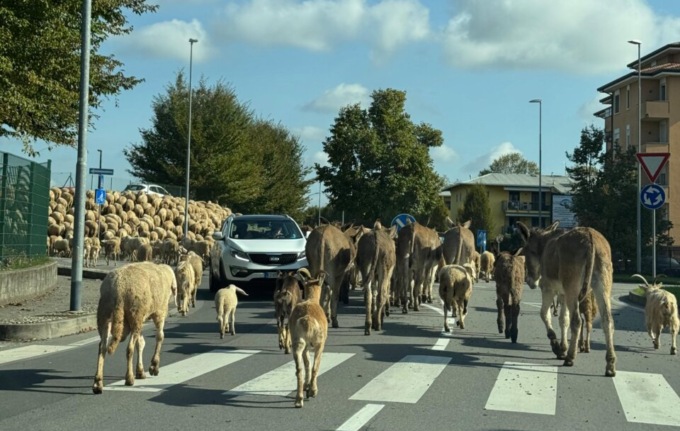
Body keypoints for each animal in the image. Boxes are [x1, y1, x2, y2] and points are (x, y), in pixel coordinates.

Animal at [92, 262, 178, 394]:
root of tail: (118, 288)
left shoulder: (139, 321)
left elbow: (141, 343)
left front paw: (140, 371)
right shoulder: (159, 312)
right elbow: (160, 337)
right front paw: (154, 366)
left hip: (104, 314)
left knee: (102, 347)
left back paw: (98, 383)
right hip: (135, 313)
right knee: (129, 348)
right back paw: (129, 379)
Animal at [289, 272, 328, 408]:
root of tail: (307, 321)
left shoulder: (306, 347)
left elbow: (306, 363)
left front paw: (306, 387)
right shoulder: (317, 345)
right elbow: (311, 365)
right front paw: (310, 389)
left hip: (298, 343)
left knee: (299, 369)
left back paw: (299, 400)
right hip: (318, 344)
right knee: (315, 366)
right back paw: (312, 391)